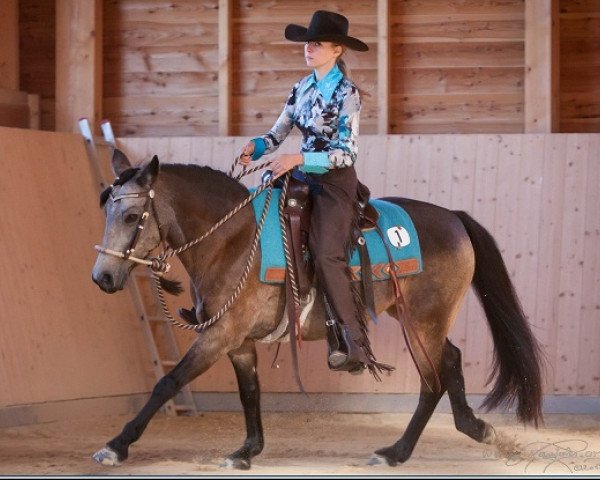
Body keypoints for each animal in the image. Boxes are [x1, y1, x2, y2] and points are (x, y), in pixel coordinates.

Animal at [90, 149, 544, 468]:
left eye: (131, 215)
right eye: (107, 211)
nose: (102, 277)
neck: (232, 240)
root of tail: (453, 216)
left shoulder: (218, 336)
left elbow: (168, 383)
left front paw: (116, 446)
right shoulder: (237, 341)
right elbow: (249, 392)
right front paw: (247, 450)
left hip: (424, 321)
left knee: (433, 380)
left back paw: (396, 451)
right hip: (416, 318)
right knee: (450, 362)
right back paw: (468, 429)